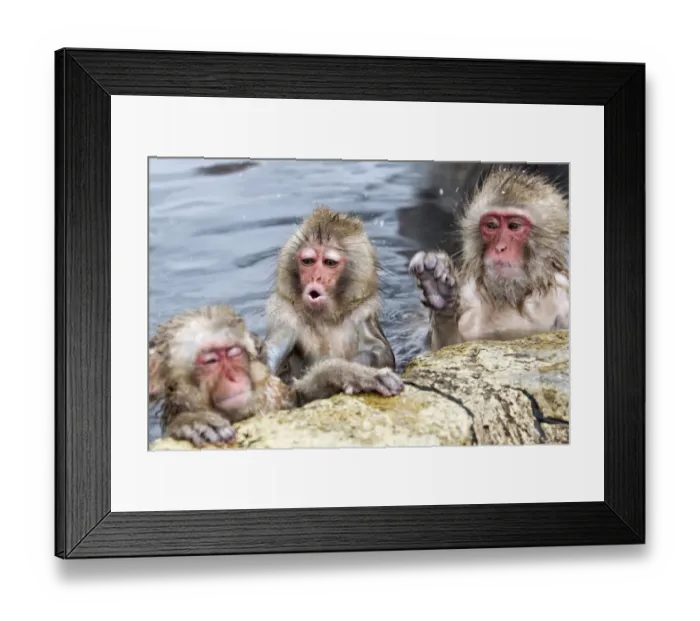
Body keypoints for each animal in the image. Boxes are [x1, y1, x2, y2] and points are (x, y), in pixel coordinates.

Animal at [148, 304, 404, 446]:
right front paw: (193, 423)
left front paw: (352, 374)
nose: (233, 378)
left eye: (233, 352)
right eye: (210, 360)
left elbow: (301, 400)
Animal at [264, 205, 396, 383]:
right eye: (308, 261)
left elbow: (381, 352)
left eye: (329, 263)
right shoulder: (285, 313)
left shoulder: (363, 312)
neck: (325, 319)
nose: (316, 277)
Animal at [409, 166, 569, 349]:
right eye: (491, 225)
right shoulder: (468, 290)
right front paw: (439, 293)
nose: (500, 248)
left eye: (514, 226)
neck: (512, 297)